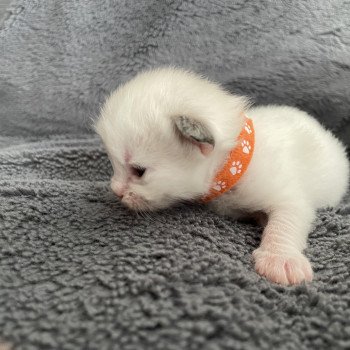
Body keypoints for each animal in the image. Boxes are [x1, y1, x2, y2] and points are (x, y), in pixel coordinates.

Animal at [94, 67, 348, 286]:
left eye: (139, 171)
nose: (116, 191)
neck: (233, 164)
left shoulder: (287, 194)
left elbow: (286, 220)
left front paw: (280, 259)